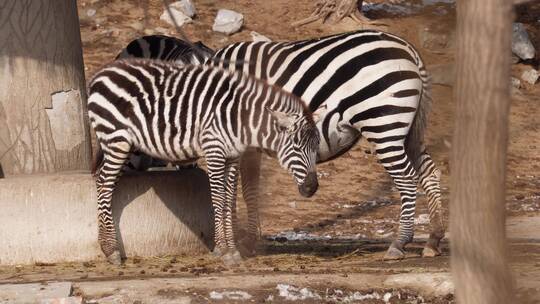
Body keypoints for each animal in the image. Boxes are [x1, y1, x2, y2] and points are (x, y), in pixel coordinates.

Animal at [86, 58, 318, 264]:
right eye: (296, 146)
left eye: (316, 146)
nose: (312, 187)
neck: (240, 118)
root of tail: (101, 72)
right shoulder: (214, 150)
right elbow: (219, 199)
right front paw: (224, 250)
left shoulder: (233, 156)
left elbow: (228, 200)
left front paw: (231, 250)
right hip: (116, 138)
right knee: (104, 183)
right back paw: (111, 250)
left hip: (124, 144)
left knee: (107, 182)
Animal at [120, 30, 446, 258]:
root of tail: (408, 50)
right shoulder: (245, 146)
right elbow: (246, 190)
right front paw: (246, 240)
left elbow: (230, 190)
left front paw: (232, 243)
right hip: (409, 129)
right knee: (429, 173)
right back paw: (434, 238)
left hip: (383, 123)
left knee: (406, 179)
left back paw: (399, 243)